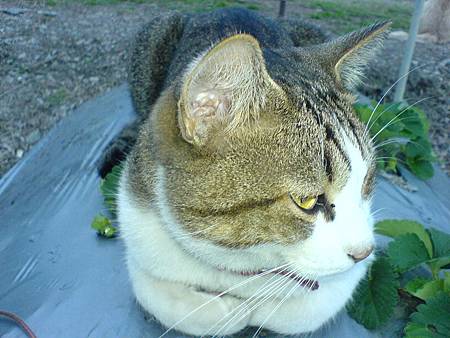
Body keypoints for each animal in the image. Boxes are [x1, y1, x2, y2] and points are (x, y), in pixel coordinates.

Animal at [117, 7, 390, 336]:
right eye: (307, 201)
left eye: (367, 182)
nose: (365, 252)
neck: (240, 260)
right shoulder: (140, 232)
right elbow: (163, 298)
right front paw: (230, 310)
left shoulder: (348, 275)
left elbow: (308, 308)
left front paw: (258, 307)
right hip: (154, 35)